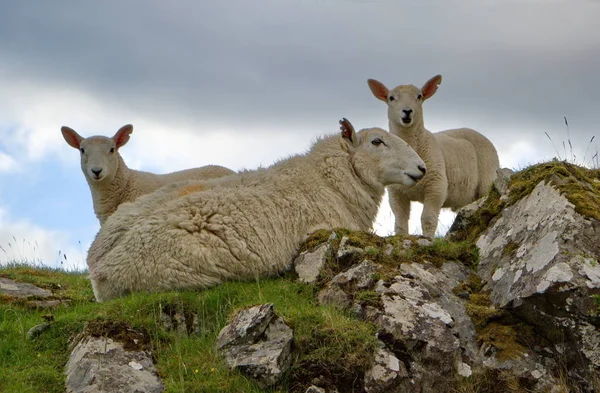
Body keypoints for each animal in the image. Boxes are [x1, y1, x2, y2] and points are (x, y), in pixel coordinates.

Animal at [366, 75, 502, 237]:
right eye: (391, 98)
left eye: (419, 96)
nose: (407, 111)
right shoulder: (396, 193)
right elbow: (400, 222)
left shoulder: (436, 186)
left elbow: (428, 219)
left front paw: (427, 239)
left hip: (487, 179)